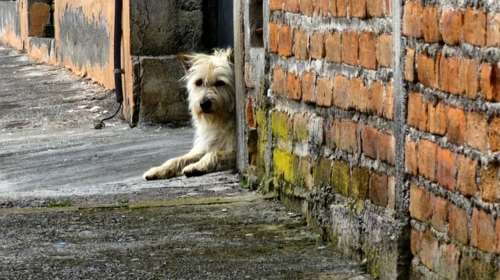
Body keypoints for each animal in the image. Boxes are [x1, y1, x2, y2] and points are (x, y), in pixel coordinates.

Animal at [143, 49, 236, 180]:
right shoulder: (205, 146)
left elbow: (213, 154)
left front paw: (196, 166)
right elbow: (178, 159)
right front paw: (159, 170)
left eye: (220, 83)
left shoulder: (235, 151)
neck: (220, 120)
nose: (204, 103)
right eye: (199, 82)